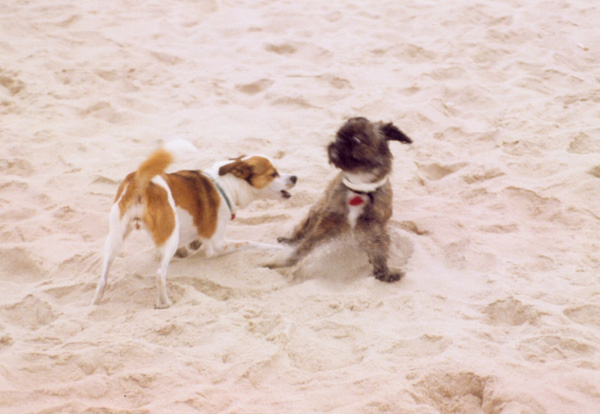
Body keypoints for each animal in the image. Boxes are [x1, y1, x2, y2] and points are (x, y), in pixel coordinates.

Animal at [92, 146, 296, 308]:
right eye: (273, 173)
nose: (295, 177)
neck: (226, 185)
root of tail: (140, 180)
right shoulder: (217, 245)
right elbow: (253, 243)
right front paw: (281, 248)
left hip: (115, 237)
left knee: (103, 277)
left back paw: (96, 302)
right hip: (170, 238)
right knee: (159, 274)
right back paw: (165, 303)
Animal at [270, 118, 412, 284]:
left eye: (356, 140)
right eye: (338, 135)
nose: (337, 142)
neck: (359, 187)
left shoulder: (374, 227)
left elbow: (379, 251)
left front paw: (384, 272)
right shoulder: (326, 221)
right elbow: (306, 245)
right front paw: (285, 262)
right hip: (315, 212)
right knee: (302, 232)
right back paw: (290, 240)